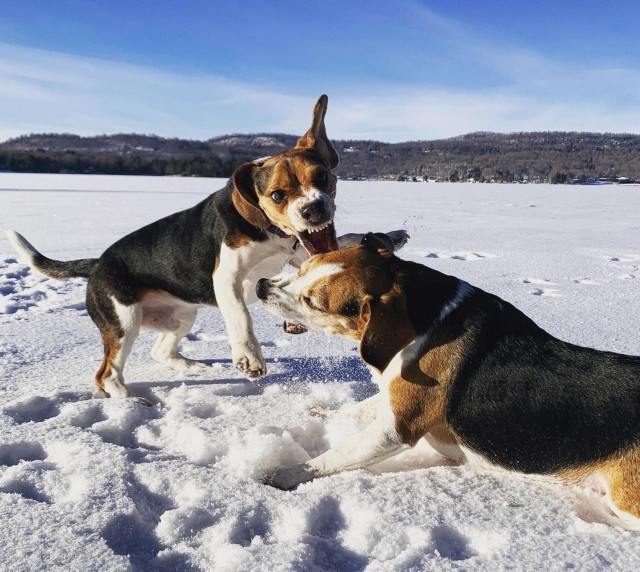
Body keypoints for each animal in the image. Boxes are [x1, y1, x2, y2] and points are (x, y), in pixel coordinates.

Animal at [5, 95, 408, 402]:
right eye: (278, 194)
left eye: (322, 177)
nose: (314, 210)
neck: (268, 231)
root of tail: (98, 263)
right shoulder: (226, 277)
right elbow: (241, 317)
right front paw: (249, 358)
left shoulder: (299, 252)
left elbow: (340, 244)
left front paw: (390, 234)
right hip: (123, 321)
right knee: (106, 374)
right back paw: (131, 400)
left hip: (181, 316)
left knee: (159, 350)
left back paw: (190, 366)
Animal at [258, 235, 640, 528]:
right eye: (303, 268)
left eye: (313, 302)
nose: (262, 286)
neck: (425, 317)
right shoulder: (393, 397)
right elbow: (356, 409)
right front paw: (322, 413)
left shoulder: (397, 428)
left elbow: (334, 456)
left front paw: (285, 474)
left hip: (626, 501)